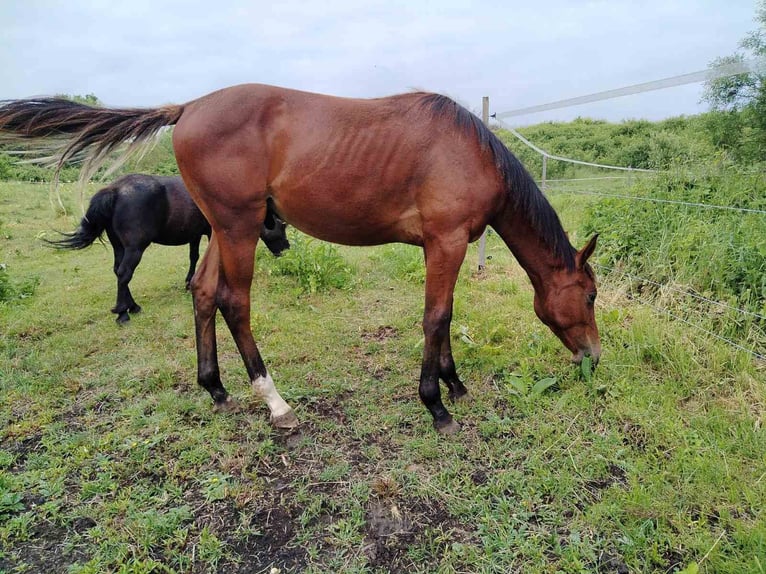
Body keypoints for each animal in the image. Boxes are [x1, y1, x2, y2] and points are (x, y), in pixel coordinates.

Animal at [46, 173, 292, 326]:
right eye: (280, 228)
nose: (286, 250)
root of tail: (114, 190)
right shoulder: (211, 233)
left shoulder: (194, 234)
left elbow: (193, 256)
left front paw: (189, 281)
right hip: (135, 248)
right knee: (124, 273)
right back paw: (123, 313)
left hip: (119, 246)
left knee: (118, 272)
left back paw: (132, 305)